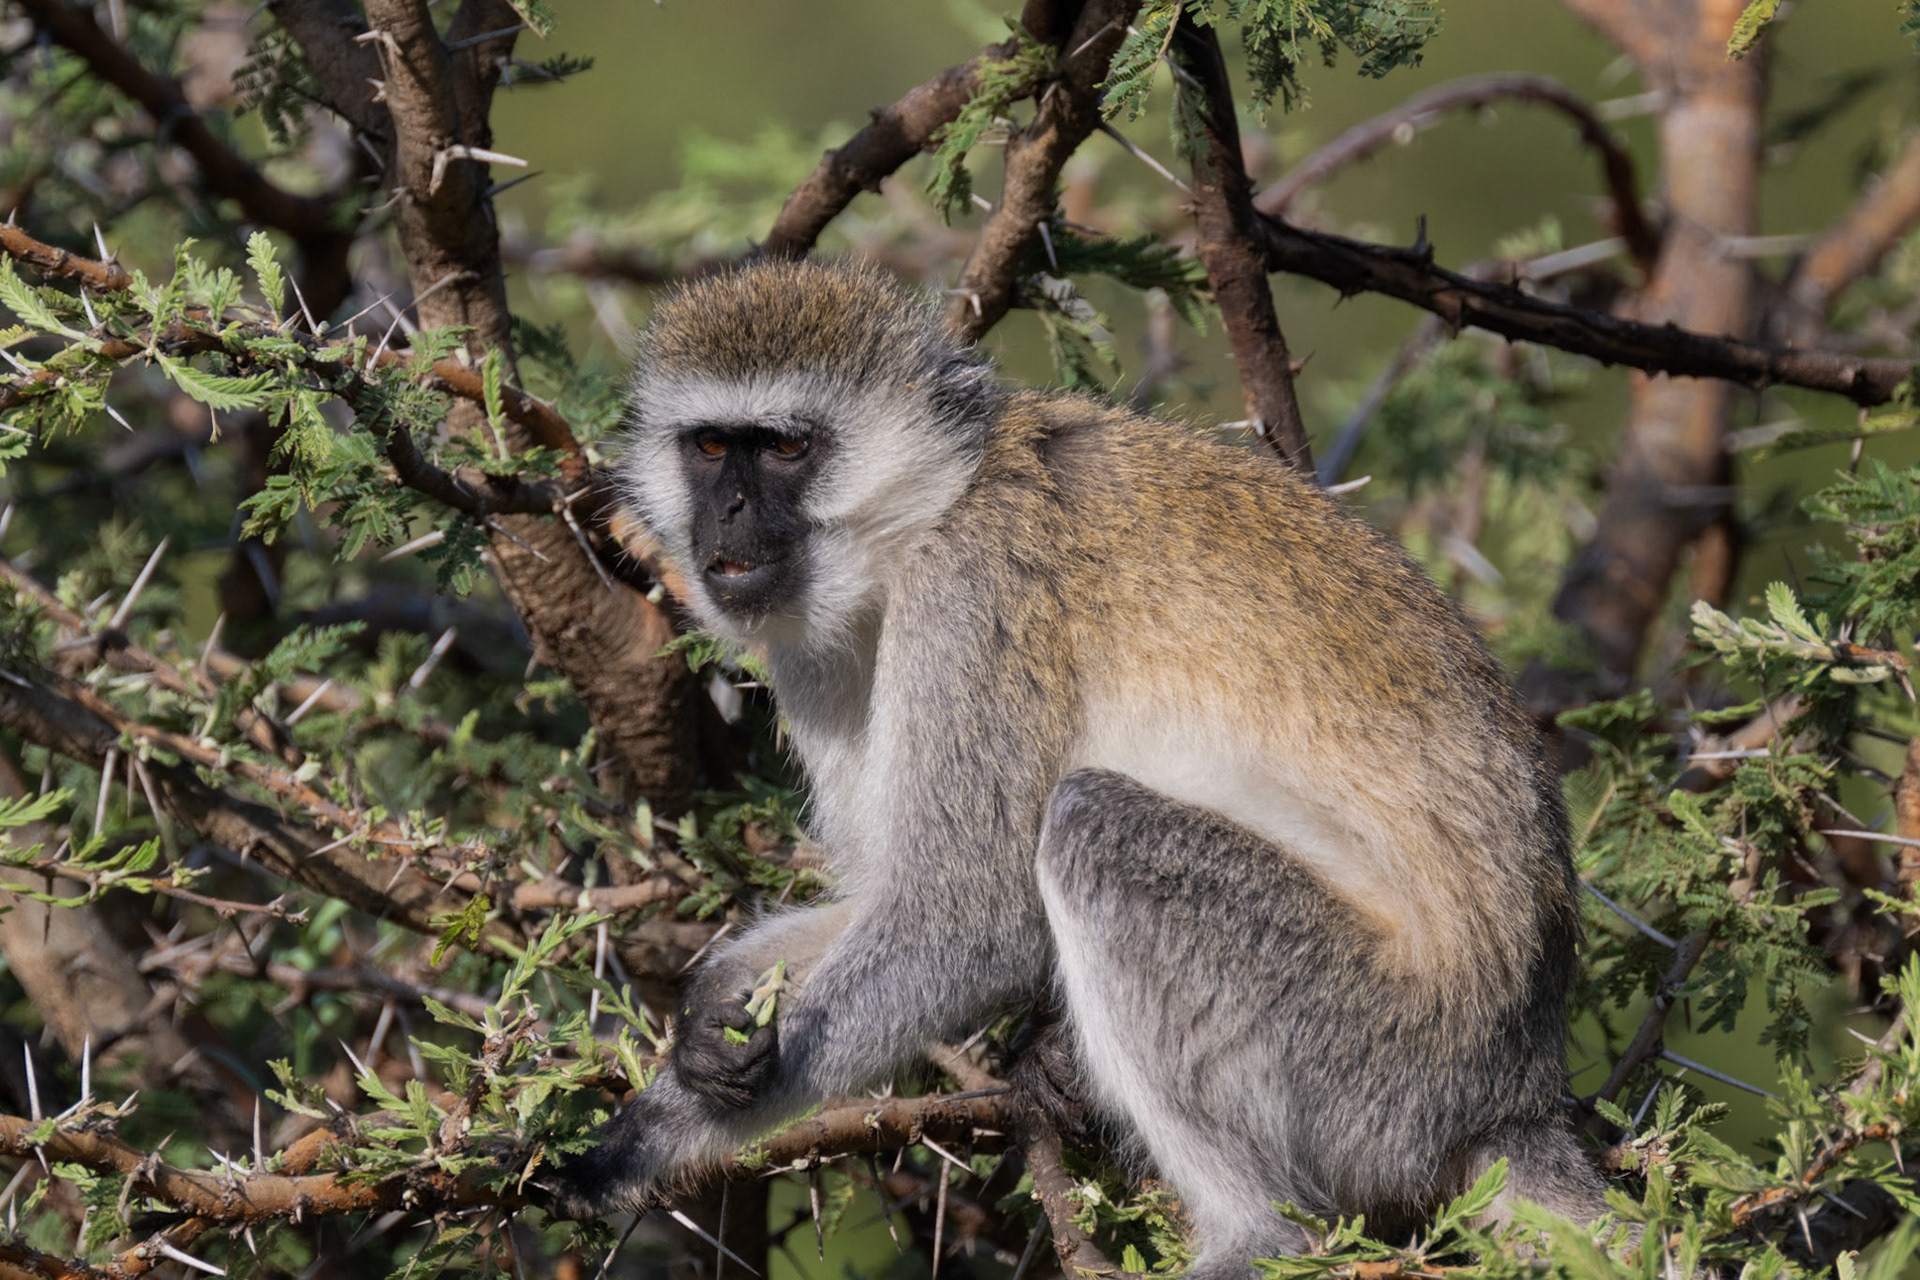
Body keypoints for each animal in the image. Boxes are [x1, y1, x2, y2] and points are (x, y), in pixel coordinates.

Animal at [545, 258, 1606, 1275]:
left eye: (783, 449)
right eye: (710, 448)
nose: (723, 513)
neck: (935, 508)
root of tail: (1513, 1093)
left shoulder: (974, 590)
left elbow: (966, 913)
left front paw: (631, 1151)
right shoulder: (817, 653)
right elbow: (888, 889)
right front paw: (712, 1003)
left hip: (1373, 1059)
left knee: (1096, 830)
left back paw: (1255, 1240)